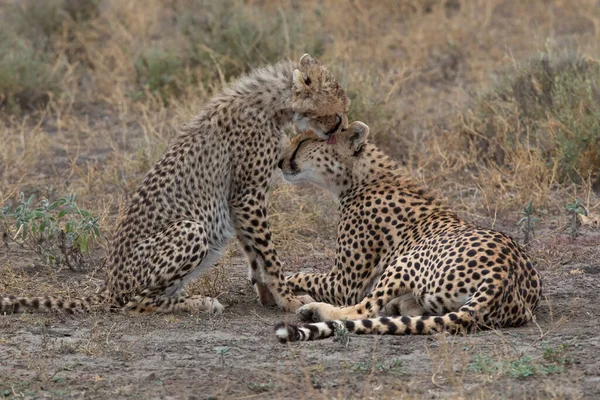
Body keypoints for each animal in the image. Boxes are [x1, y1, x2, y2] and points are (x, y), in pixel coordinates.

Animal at [0, 54, 350, 316]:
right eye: (339, 112)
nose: (344, 127)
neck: (273, 102)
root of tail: (109, 286)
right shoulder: (247, 195)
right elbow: (269, 254)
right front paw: (288, 298)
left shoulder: (238, 202)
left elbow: (254, 252)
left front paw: (268, 295)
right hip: (190, 229)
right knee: (136, 304)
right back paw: (198, 303)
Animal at [274, 120, 540, 342]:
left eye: (304, 142)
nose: (279, 162)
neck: (360, 178)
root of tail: (503, 276)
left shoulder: (343, 284)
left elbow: (302, 275)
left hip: (405, 260)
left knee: (360, 311)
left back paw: (313, 310)